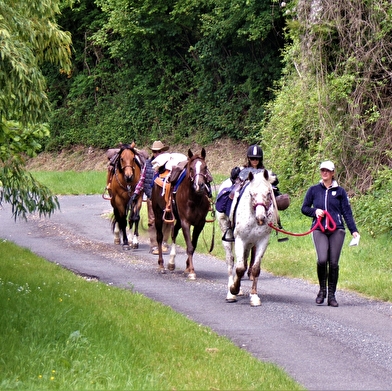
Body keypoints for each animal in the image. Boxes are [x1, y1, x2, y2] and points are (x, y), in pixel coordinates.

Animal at [152, 149, 214, 280]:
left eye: (205, 167)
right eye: (191, 168)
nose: (199, 185)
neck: (194, 199)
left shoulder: (199, 224)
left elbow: (193, 245)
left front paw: (187, 268)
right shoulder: (186, 222)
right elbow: (189, 247)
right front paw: (191, 272)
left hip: (178, 219)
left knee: (174, 233)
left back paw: (171, 262)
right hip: (158, 213)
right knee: (159, 237)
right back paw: (161, 265)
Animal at [217, 170, 276, 308]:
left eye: (268, 193)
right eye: (251, 194)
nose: (261, 217)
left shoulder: (262, 241)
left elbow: (254, 269)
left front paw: (254, 297)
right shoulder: (240, 240)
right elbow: (239, 268)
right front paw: (233, 290)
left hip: (249, 244)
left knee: (244, 261)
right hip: (227, 234)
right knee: (230, 261)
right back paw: (231, 292)